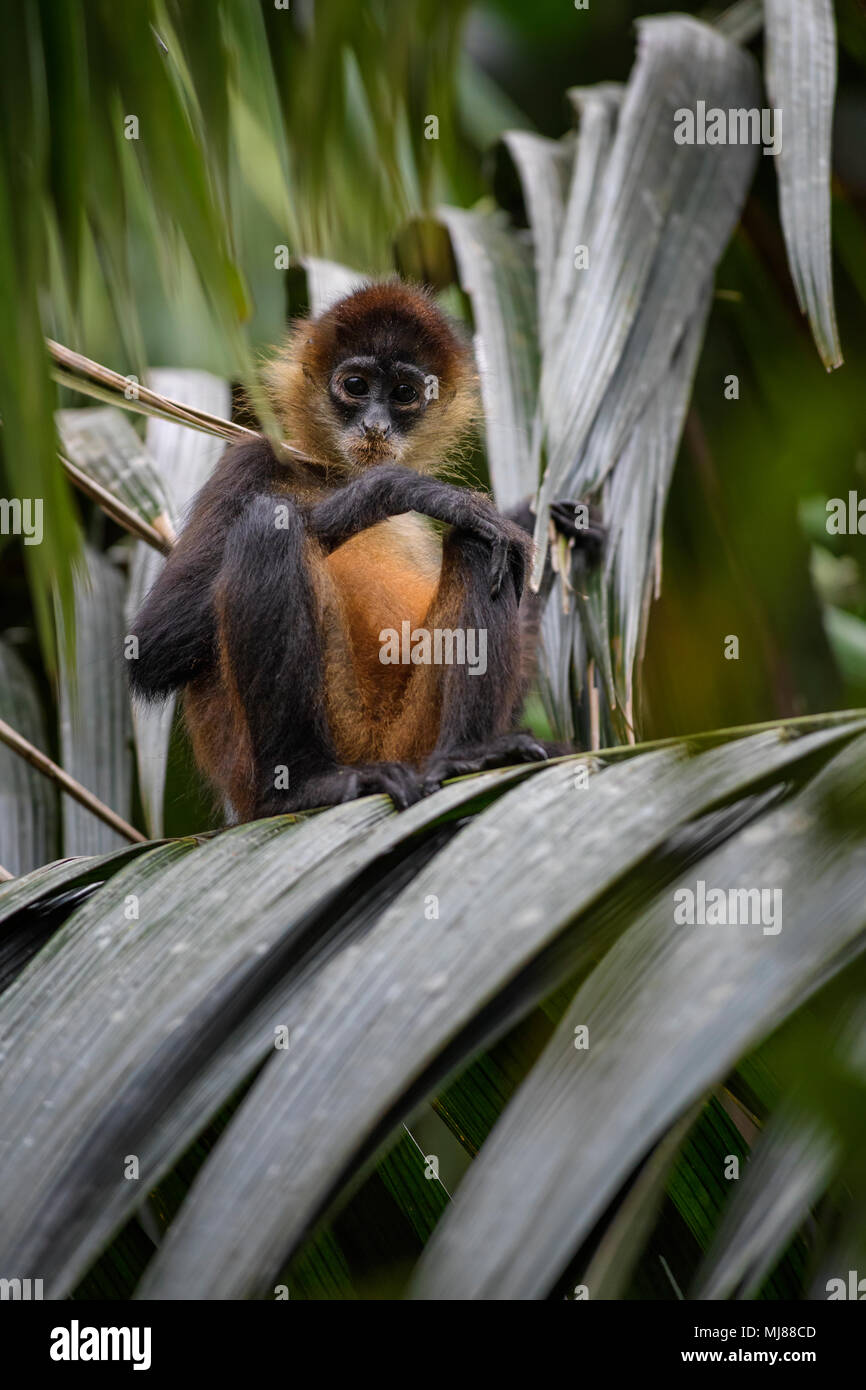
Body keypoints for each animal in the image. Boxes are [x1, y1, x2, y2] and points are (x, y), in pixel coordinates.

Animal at [128, 281, 601, 821]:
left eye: (403, 394)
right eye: (355, 386)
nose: (376, 426)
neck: (333, 474)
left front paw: (553, 522)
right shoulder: (250, 459)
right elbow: (154, 648)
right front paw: (397, 490)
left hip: (411, 739)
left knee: (481, 544)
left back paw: (472, 755)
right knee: (269, 526)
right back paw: (303, 787)